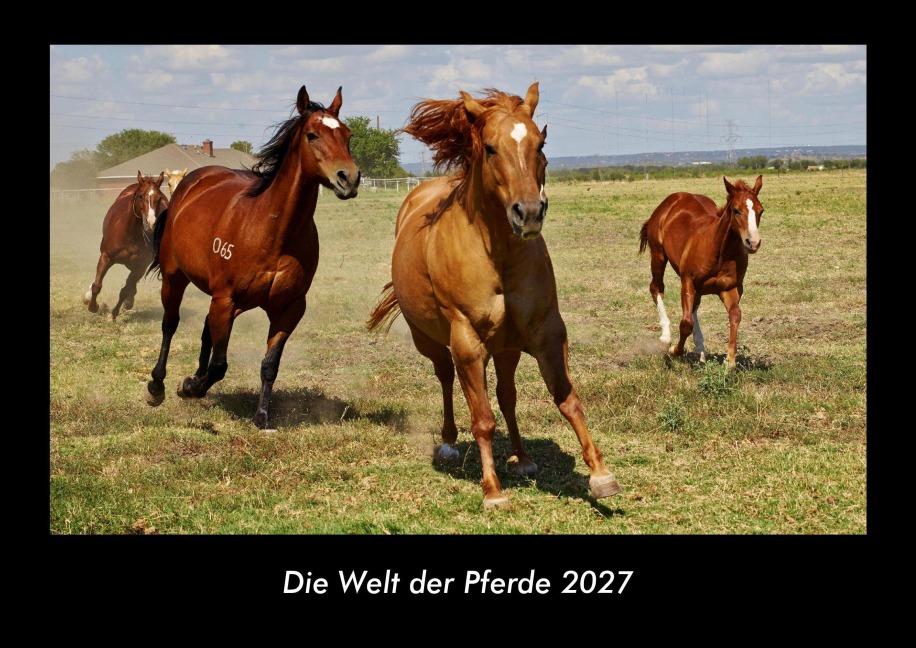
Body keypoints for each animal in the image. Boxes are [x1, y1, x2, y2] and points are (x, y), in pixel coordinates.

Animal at [83, 171, 169, 321]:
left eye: (159, 198)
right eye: (140, 196)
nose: (151, 222)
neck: (130, 235)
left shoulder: (141, 265)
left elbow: (125, 290)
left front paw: (113, 314)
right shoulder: (106, 257)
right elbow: (97, 285)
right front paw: (93, 307)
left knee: (132, 285)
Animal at [145, 85, 360, 431]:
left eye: (347, 134)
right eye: (312, 135)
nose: (349, 178)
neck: (272, 231)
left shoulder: (289, 308)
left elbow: (269, 364)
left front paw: (262, 416)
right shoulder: (226, 299)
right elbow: (219, 365)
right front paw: (190, 387)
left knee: (206, 330)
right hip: (175, 278)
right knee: (170, 324)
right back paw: (158, 385)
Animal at [367, 82, 621, 509]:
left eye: (540, 143)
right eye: (489, 148)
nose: (529, 212)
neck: (497, 255)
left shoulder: (546, 332)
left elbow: (566, 399)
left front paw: (601, 475)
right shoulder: (468, 342)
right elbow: (482, 419)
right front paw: (492, 490)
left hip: (506, 348)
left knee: (506, 395)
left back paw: (522, 457)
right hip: (432, 341)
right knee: (447, 378)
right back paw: (449, 444)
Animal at [638, 175, 764, 369]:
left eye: (761, 211)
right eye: (736, 210)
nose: (754, 242)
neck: (720, 252)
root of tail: (672, 200)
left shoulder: (731, 288)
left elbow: (735, 315)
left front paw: (730, 361)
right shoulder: (687, 281)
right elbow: (686, 323)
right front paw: (674, 350)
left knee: (695, 306)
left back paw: (700, 349)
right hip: (658, 256)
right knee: (656, 288)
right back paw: (666, 337)